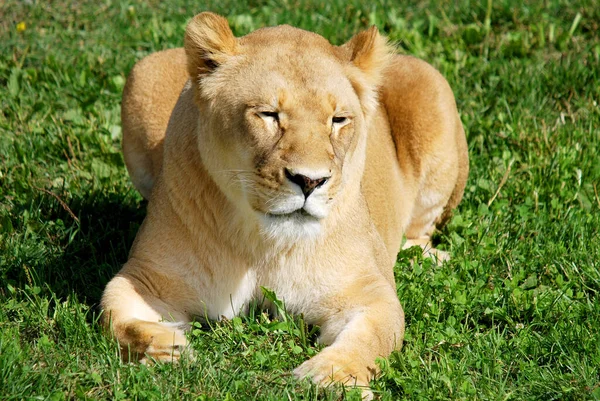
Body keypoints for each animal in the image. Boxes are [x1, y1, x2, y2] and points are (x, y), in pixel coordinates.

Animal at [102, 10, 468, 396]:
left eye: (338, 119)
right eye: (268, 114)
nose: (310, 181)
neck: (262, 243)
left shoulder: (369, 292)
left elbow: (372, 338)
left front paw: (330, 378)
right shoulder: (148, 278)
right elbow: (114, 315)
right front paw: (168, 349)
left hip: (433, 89)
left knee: (420, 231)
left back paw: (428, 259)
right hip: (143, 74)